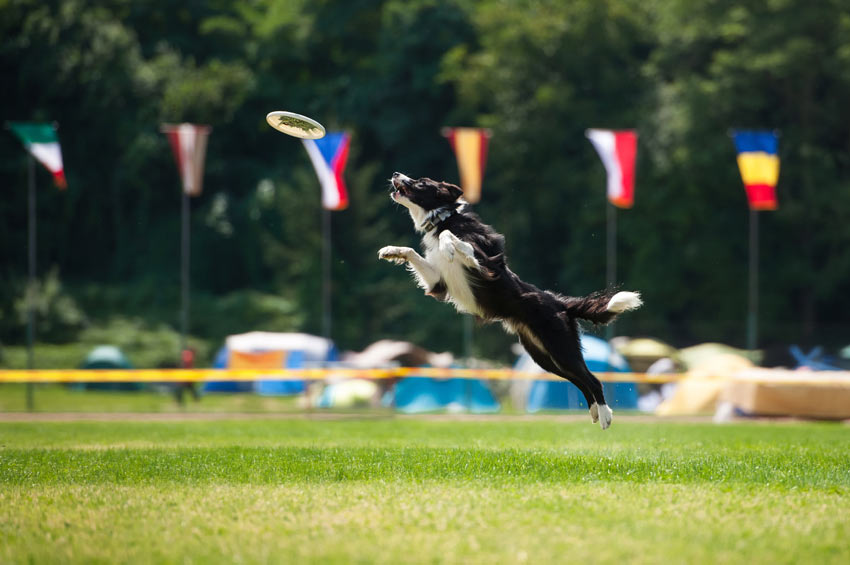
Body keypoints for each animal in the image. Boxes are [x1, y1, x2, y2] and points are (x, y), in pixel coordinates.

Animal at [374, 172, 640, 428]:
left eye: (421, 182)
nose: (396, 173)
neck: (443, 218)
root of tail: (560, 303)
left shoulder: (484, 265)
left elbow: (452, 239)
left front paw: (447, 246)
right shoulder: (438, 282)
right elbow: (412, 252)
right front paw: (391, 250)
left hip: (560, 345)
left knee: (592, 379)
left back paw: (605, 416)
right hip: (543, 356)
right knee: (579, 380)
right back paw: (595, 412)